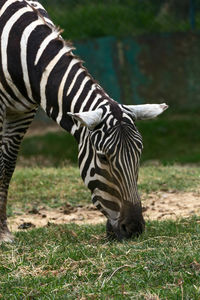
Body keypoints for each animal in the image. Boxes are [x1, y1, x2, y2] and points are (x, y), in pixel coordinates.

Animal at [0, 0, 168, 243]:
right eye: (103, 157)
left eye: (140, 153)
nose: (134, 228)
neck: (24, 54)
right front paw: (2, 234)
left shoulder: (23, 113)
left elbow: (7, 165)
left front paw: (3, 230)